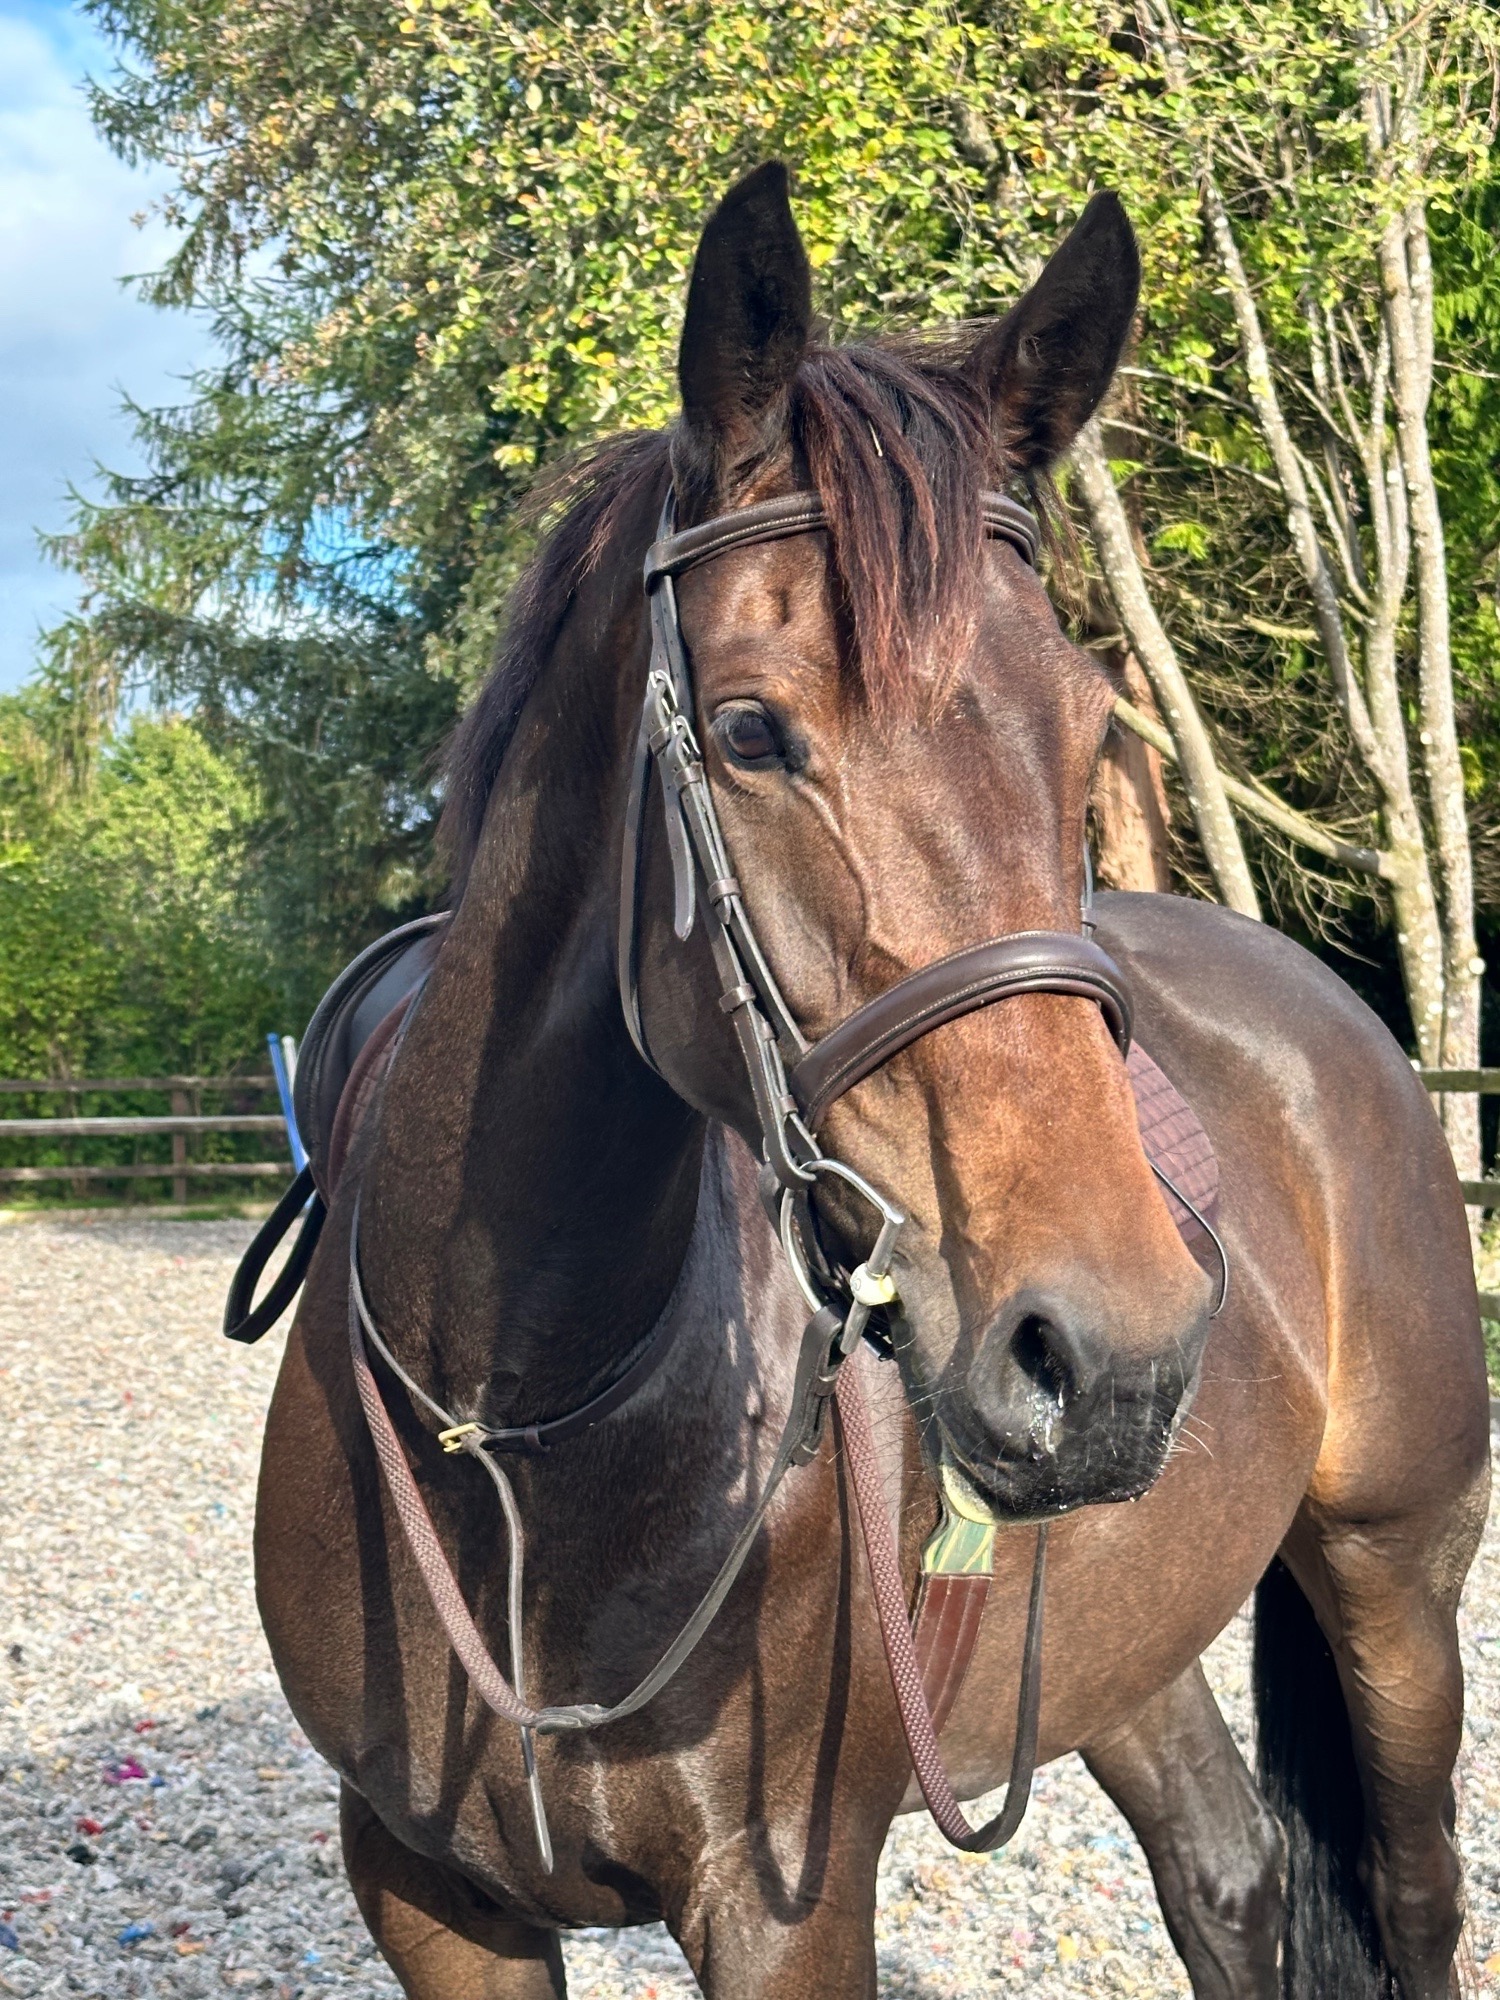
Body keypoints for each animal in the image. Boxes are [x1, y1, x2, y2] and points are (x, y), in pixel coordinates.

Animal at [251, 163, 1490, 1998]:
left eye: (1089, 728)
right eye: (752, 735)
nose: (1112, 1351)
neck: (515, 1424)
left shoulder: (789, 1904)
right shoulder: (424, 1891)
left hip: (1394, 1581)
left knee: (1411, 1899)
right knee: (1227, 1869)